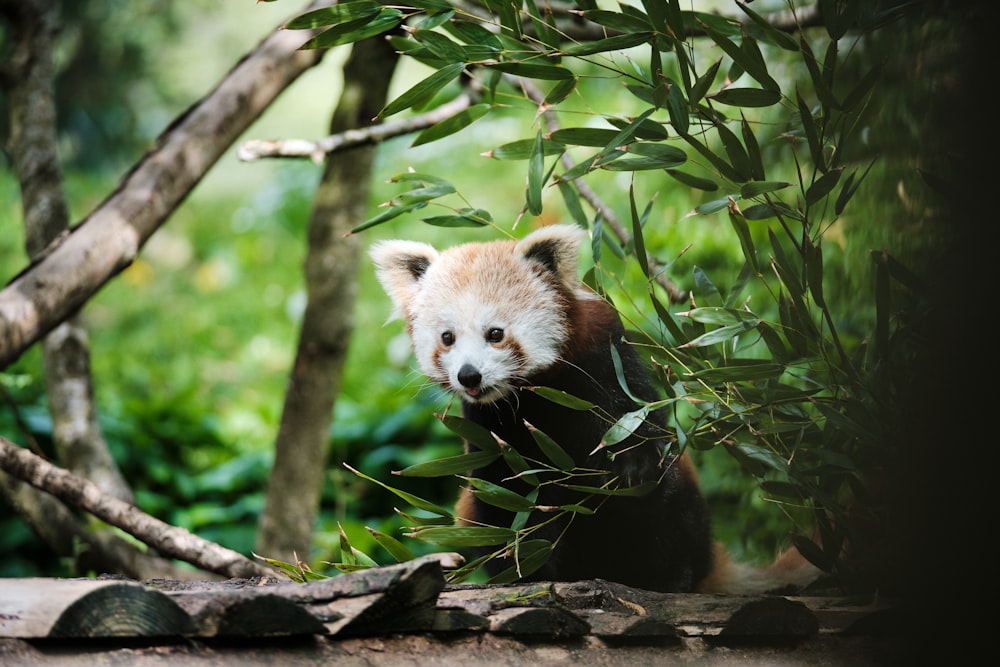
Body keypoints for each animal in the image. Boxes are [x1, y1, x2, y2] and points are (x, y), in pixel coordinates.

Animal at [370, 224, 820, 596]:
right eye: (447, 337)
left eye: (495, 333)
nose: (469, 375)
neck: (535, 399)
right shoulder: (489, 432)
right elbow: (508, 502)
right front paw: (531, 568)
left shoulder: (607, 364)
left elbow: (638, 437)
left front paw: (630, 467)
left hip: (685, 518)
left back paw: (669, 578)